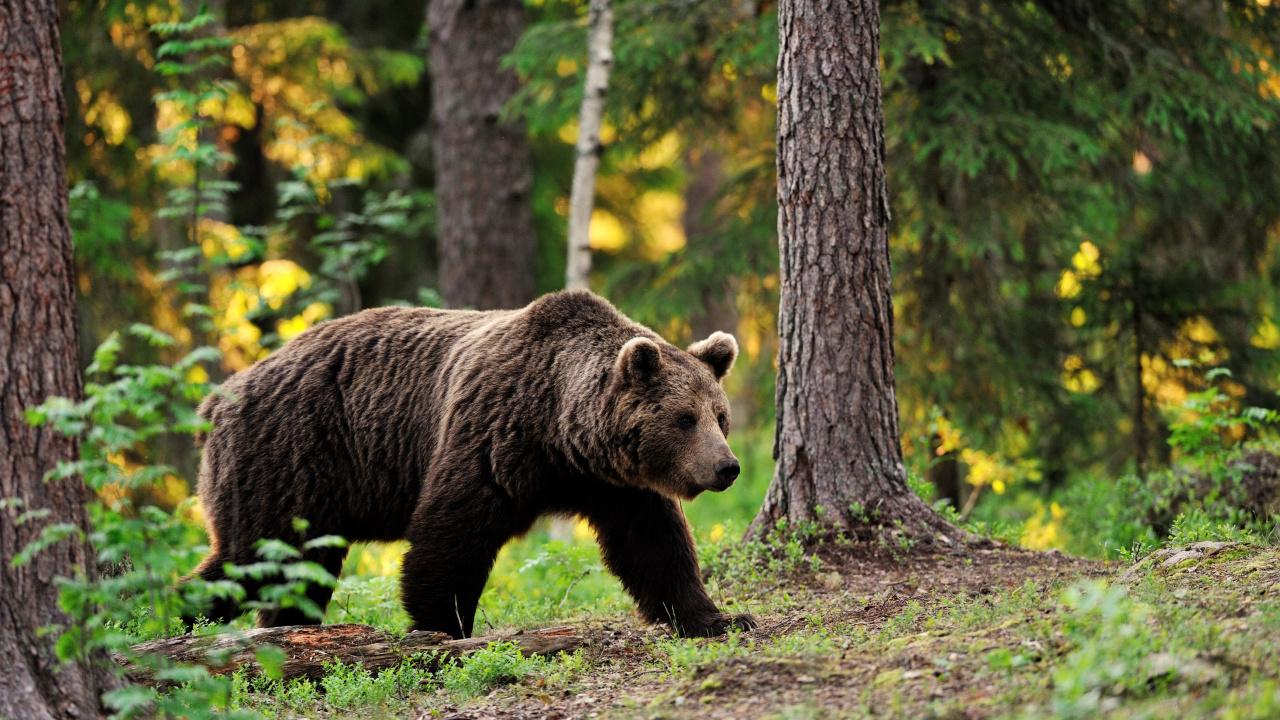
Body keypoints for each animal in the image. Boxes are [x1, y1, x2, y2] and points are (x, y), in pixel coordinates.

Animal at [188, 290, 757, 638]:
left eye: (720, 417)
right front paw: (442, 626)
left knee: (295, 570)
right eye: (684, 419)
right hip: (290, 457)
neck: (560, 431)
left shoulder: (615, 483)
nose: (726, 467)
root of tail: (219, 397)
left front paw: (720, 618)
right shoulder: (492, 435)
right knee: (254, 557)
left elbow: (654, 546)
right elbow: (452, 533)